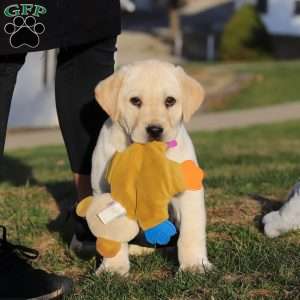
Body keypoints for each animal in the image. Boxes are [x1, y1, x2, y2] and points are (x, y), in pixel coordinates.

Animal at [91, 59, 211, 276]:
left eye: (170, 101)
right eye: (135, 101)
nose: (155, 130)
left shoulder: (188, 192)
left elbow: (191, 231)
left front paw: (194, 264)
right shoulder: (106, 193)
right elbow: (112, 234)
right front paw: (113, 268)